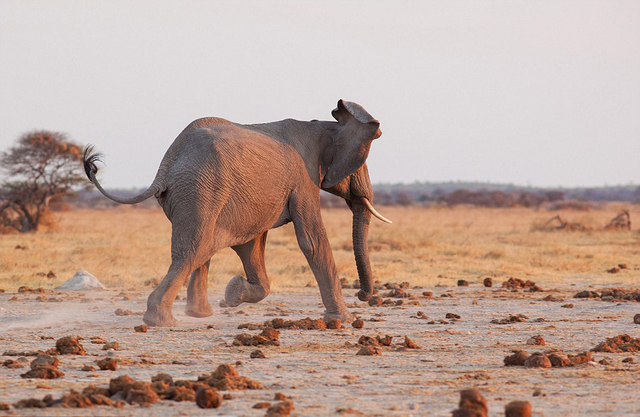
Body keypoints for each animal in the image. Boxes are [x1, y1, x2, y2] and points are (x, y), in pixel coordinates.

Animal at [82, 100, 388, 324]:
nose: (362, 295)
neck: (327, 126)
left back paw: (199, 315)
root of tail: (166, 164)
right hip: (201, 187)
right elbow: (311, 241)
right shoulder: (304, 179)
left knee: (202, 248)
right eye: (360, 164)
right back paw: (161, 321)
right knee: (192, 250)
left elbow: (251, 245)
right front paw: (343, 320)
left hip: (194, 192)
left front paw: (232, 295)